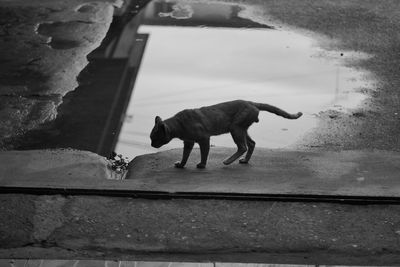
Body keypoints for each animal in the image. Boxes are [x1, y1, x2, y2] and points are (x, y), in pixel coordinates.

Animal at [150, 100, 304, 170]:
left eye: (154, 137)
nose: (151, 144)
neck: (179, 124)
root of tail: (251, 102)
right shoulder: (188, 142)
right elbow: (185, 155)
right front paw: (181, 165)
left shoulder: (204, 138)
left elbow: (204, 153)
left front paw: (202, 165)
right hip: (242, 129)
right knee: (252, 144)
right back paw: (244, 161)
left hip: (235, 128)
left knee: (243, 147)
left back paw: (227, 161)